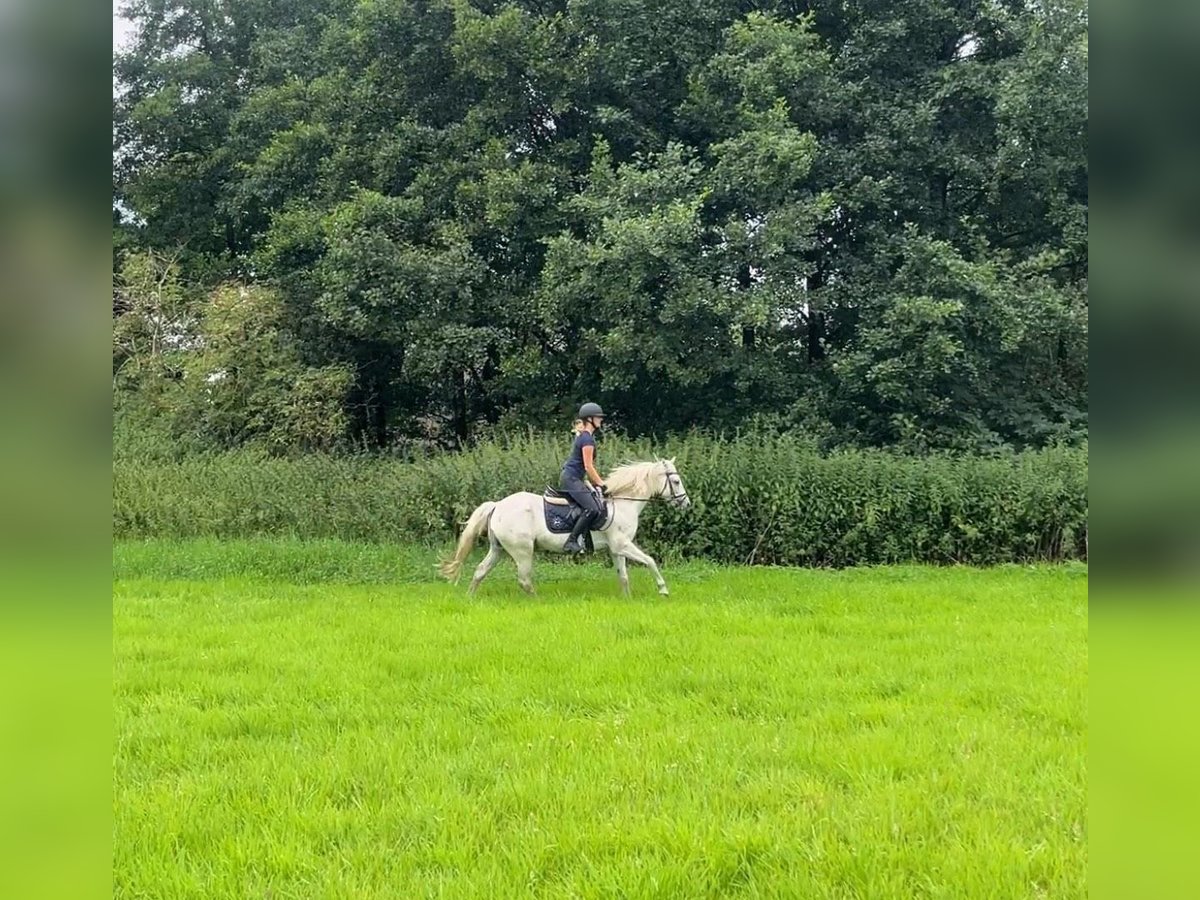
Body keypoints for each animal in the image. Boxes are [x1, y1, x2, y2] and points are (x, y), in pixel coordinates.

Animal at [436, 458, 691, 600]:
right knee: (524, 579)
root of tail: (498, 505)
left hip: (498, 549)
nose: (686, 503)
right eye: (676, 481)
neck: (622, 502)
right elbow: (650, 561)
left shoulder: (616, 549)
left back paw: (469, 599)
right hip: (522, 551)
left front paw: (627, 600)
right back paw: (538, 601)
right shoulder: (623, 544)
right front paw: (663, 590)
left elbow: (624, 576)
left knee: (480, 571)